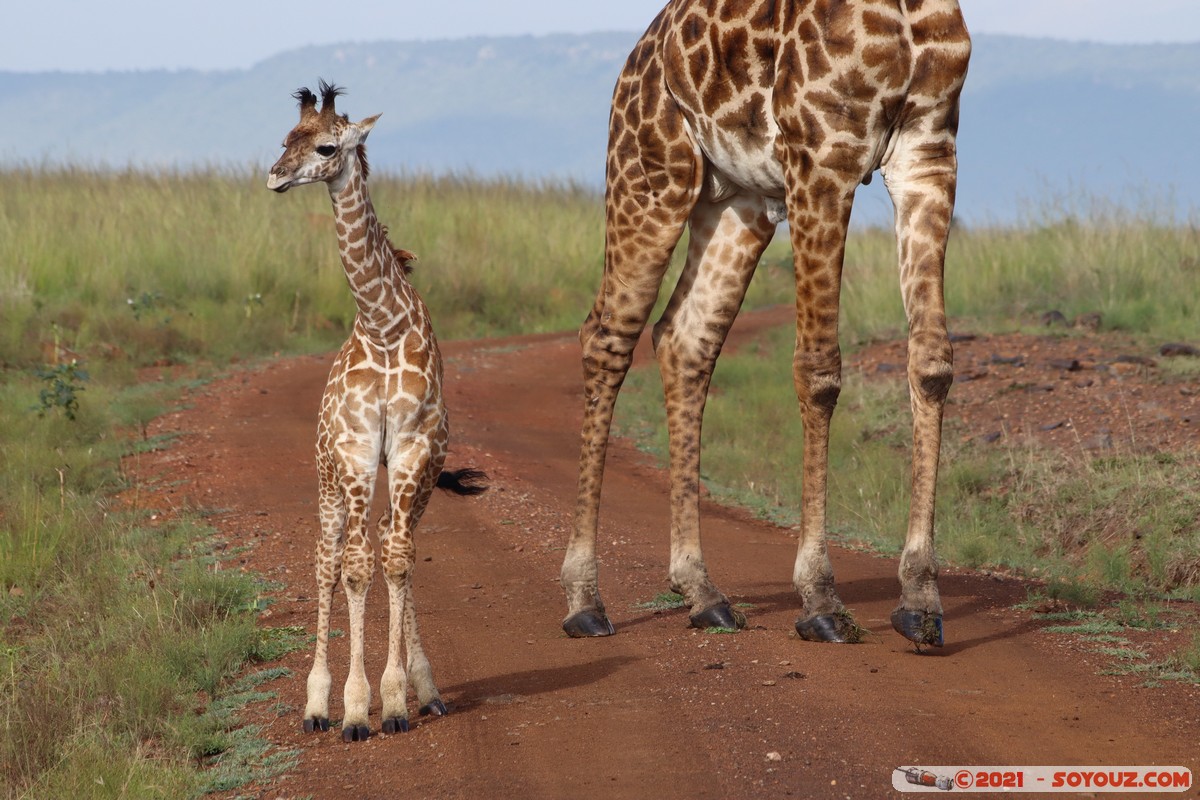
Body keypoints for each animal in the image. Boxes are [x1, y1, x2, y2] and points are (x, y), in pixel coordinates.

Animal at [267, 82, 482, 743]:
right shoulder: (358, 449)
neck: (383, 326)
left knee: (394, 543)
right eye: (286, 137)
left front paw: (394, 700)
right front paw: (355, 709)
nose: (274, 176)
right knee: (326, 560)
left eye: (326, 146)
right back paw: (316, 704)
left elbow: (395, 561)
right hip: (328, 474)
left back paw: (425, 690)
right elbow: (355, 568)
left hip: (419, 476)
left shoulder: (411, 449)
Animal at [561, 0, 974, 647]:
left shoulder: (929, 149)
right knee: (607, 336)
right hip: (649, 180)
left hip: (738, 201)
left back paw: (702, 593)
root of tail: (635, 63)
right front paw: (820, 599)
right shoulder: (823, 154)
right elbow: (819, 371)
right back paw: (584, 601)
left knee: (684, 338)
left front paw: (921, 600)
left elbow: (932, 364)